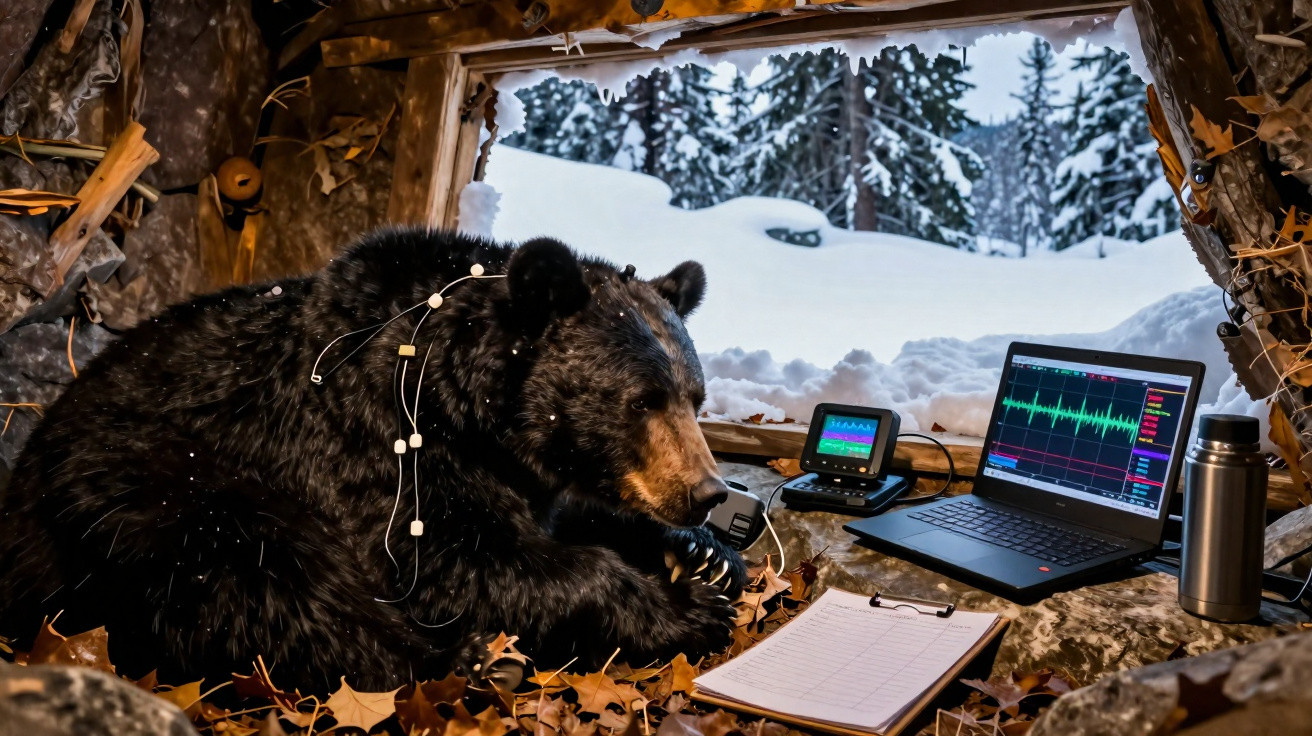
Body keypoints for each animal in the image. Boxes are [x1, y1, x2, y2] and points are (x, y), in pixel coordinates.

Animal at [0, 228, 749, 692]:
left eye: (695, 396)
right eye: (642, 401)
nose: (708, 492)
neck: (467, 406)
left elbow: (557, 522)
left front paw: (704, 555)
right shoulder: (377, 439)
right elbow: (453, 562)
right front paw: (688, 606)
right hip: (146, 489)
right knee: (265, 579)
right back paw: (465, 660)